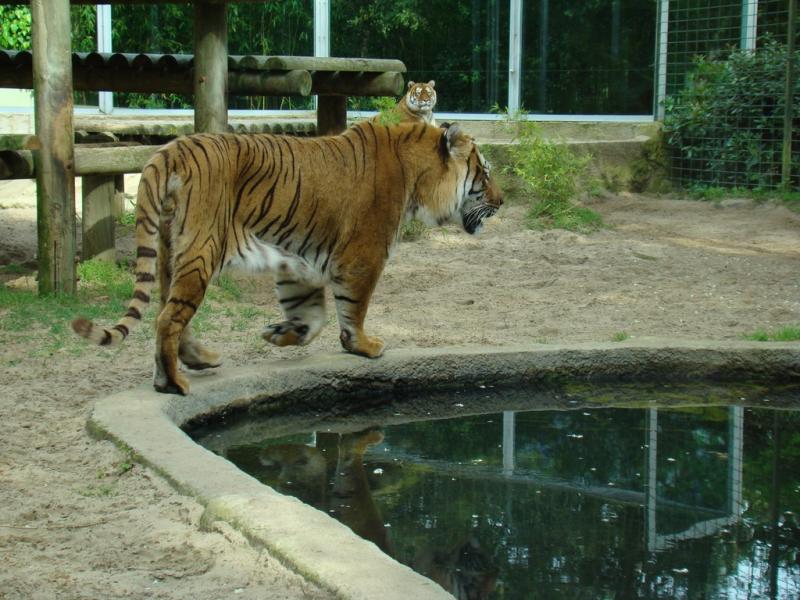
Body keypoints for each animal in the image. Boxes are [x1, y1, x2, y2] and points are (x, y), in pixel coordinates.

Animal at [71, 120, 503, 395]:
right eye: (483, 173)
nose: (501, 201)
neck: (419, 178)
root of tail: (172, 148)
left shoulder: (301, 262)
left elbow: (312, 317)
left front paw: (279, 333)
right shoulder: (364, 254)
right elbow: (353, 307)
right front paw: (364, 346)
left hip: (168, 254)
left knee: (168, 312)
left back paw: (197, 361)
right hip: (201, 251)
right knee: (168, 318)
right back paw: (173, 383)